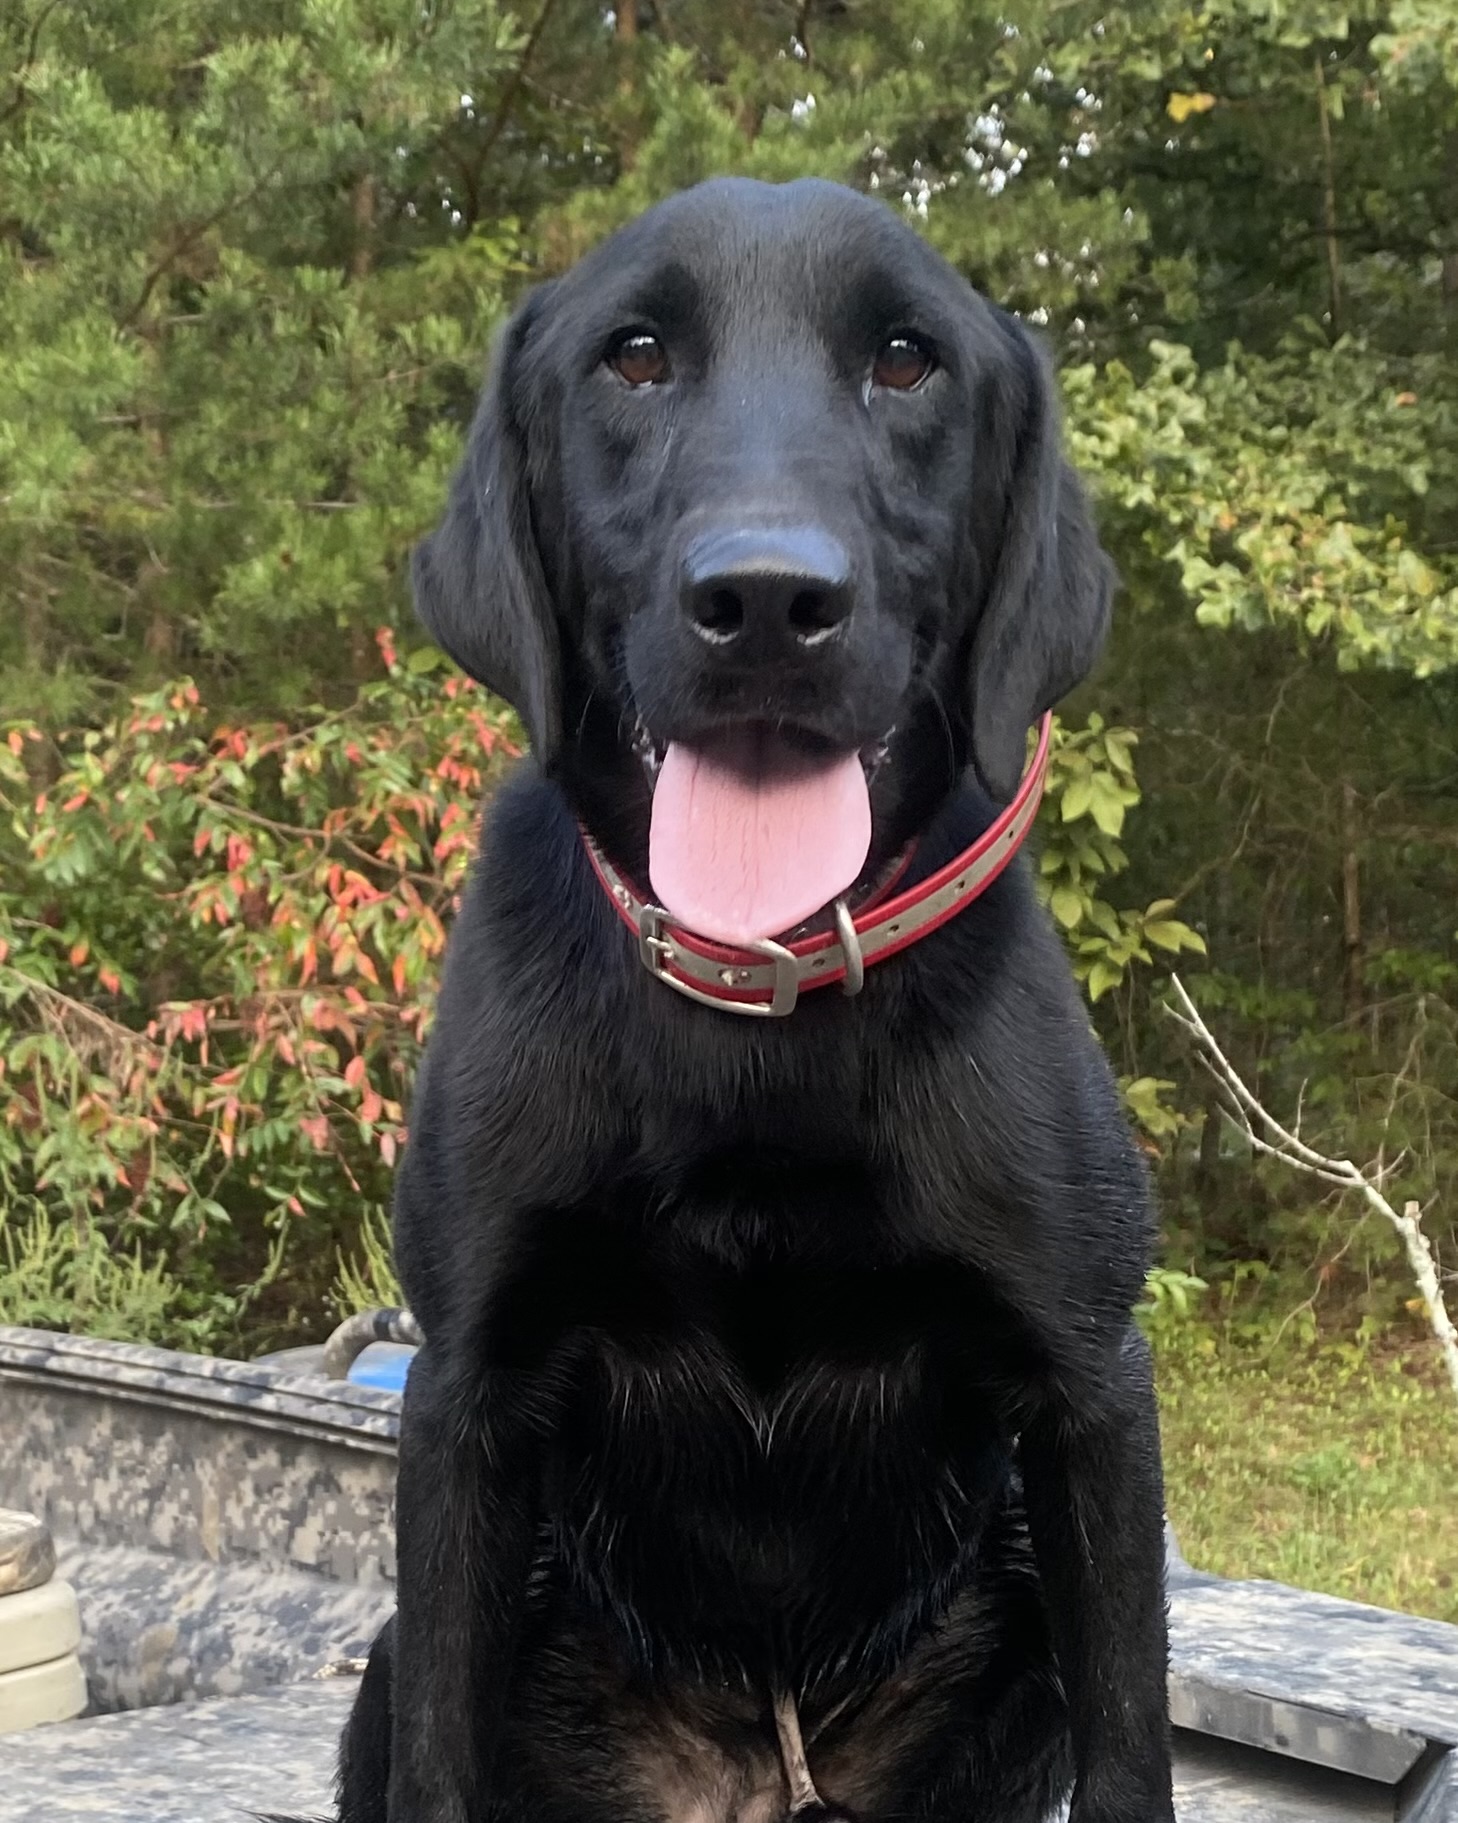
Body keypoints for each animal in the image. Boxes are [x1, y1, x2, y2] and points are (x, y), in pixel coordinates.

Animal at [336, 176, 1174, 1823]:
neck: (755, 1028)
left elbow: (1136, 1755)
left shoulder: (1090, 1392)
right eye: (634, 355)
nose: (769, 600)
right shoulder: (463, 1400)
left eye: (909, 361)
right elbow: (438, 1771)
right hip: (396, 1655)